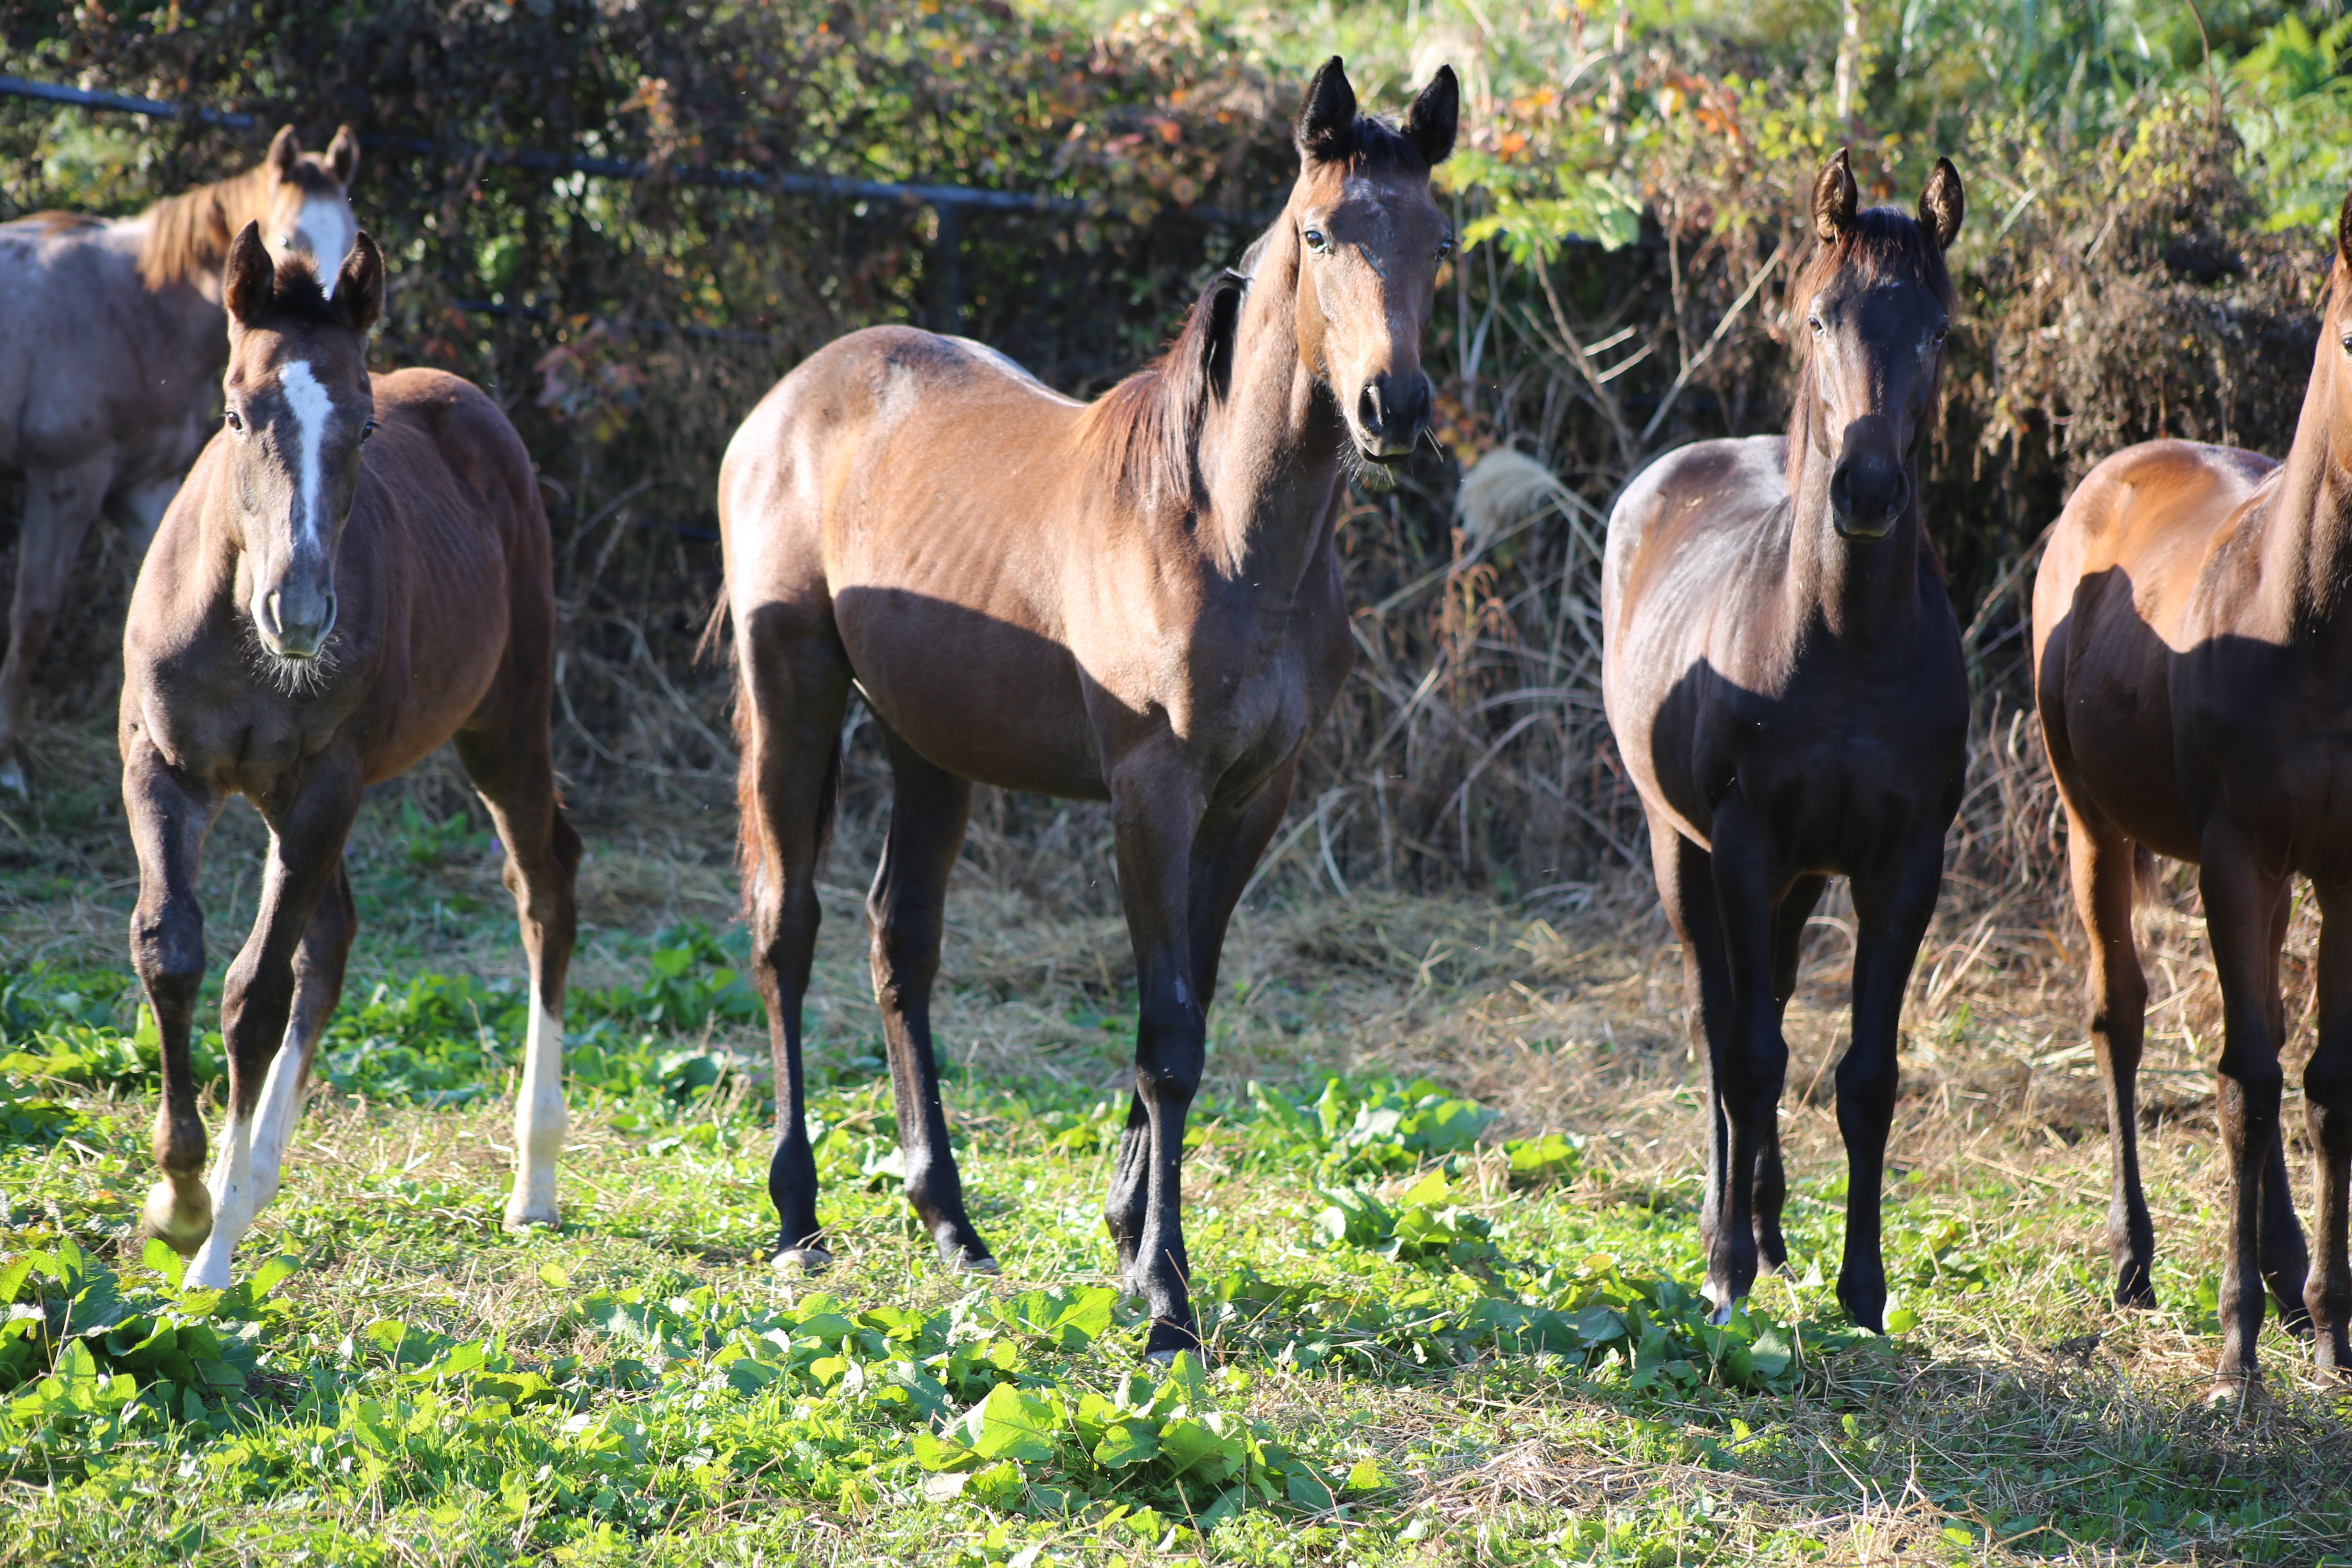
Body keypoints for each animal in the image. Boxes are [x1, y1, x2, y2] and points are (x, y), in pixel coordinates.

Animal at [0, 120, 357, 799]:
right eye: (289, 239)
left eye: (353, 237)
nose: (326, 339)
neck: (136, 306)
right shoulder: (67, 480)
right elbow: (34, 615)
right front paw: (8, 762)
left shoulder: (144, 488)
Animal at [125, 227, 578, 1297]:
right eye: (236, 413)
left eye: (366, 429)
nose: (300, 612)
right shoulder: (162, 765)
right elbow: (171, 949)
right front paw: (182, 1191)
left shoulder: (325, 781)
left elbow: (254, 994)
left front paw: (204, 1235)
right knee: (331, 933)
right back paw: (253, 1180)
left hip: (501, 723)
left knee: (543, 883)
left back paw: (532, 1181)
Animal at [715, 58, 1448, 1363]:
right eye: (1320, 233)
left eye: (1439, 243)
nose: (1392, 408)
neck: (1219, 529)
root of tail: (786, 403)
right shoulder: (1151, 794)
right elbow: (1167, 1039)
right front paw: (1163, 1300)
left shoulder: (1253, 799)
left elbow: (1187, 1007)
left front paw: (1125, 1231)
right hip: (793, 694)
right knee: (785, 928)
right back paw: (798, 1216)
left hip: (928, 742)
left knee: (899, 940)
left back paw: (950, 1221)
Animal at [1608, 147, 1975, 1335]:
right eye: (1820, 318)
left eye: (1939, 330)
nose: (1864, 488)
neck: (1843, 639)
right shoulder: (1743, 840)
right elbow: (1747, 1054)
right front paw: (1723, 1270)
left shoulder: (1901, 863)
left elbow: (1863, 1072)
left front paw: (1861, 1286)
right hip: (1685, 851)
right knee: (1722, 1020)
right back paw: (1727, 1236)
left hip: (1799, 879)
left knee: (1760, 1005)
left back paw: (1771, 1230)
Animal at [2032, 187, 2352, 1401]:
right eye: (2350, 334)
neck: (2308, 622)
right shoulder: (2233, 852)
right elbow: (2241, 1084)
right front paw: (2234, 1356)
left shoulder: (2339, 866)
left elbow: (2321, 1079)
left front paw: (2328, 1325)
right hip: (2091, 826)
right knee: (2119, 1014)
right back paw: (2133, 1258)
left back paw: (2284, 1266)